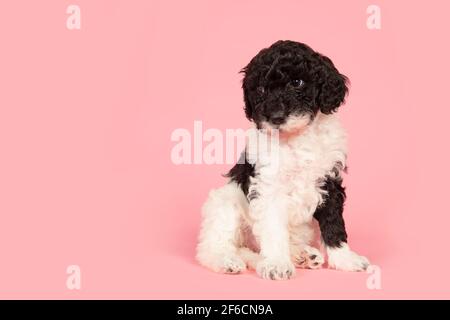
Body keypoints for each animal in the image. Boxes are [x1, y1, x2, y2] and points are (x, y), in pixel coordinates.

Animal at [196, 40, 370, 280]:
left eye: (297, 83)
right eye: (260, 89)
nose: (276, 117)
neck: (297, 137)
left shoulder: (329, 182)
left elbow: (334, 224)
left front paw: (345, 259)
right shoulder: (268, 187)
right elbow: (273, 230)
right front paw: (276, 264)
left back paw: (302, 255)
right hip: (225, 203)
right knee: (214, 247)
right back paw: (226, 260)